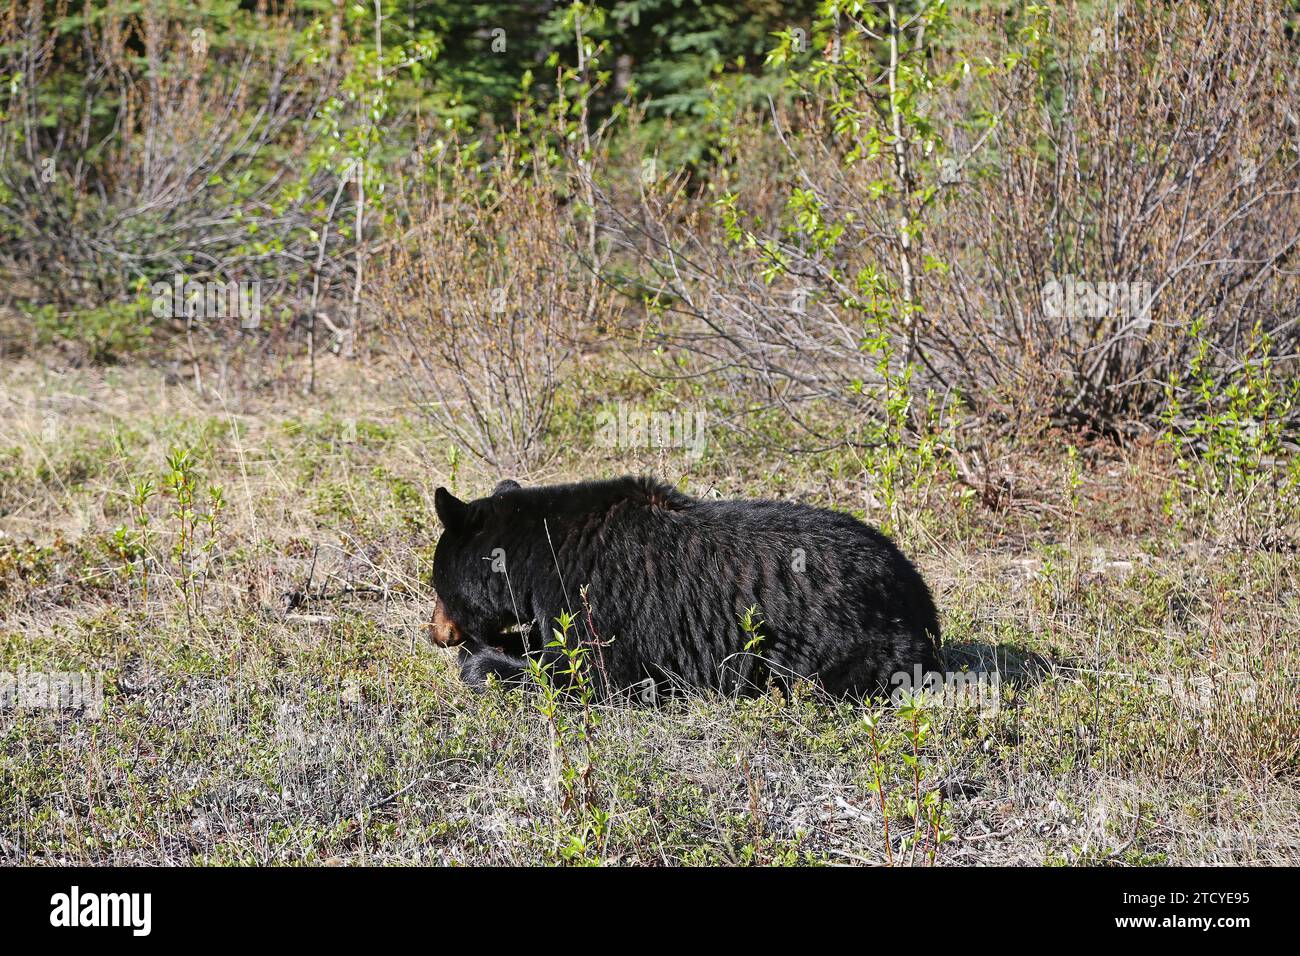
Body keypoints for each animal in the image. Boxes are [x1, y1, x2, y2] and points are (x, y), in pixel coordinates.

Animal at [428, 476, 941, 700]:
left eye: (437, 586)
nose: (436, 632)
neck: (538, 555)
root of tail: (921, 598)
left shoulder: (597, 598)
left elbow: (587, 670)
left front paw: (481, 660)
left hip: (851, 647)